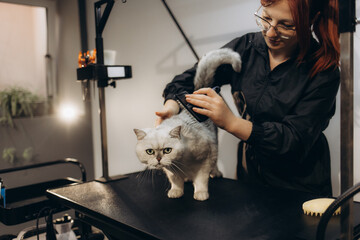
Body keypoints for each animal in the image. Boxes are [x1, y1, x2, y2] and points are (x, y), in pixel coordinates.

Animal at [134, 47, 240, 200]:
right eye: (150, 151)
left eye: (167, 150)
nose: (158, 159)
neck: (181, 162)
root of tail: (199, 92)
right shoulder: (170, 170)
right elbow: (175, 180)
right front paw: (176, 191)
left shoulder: (206, 159)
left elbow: (201, 180)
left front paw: (201, 194)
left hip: (215, 145)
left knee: (214, 164)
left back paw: (215, 173)